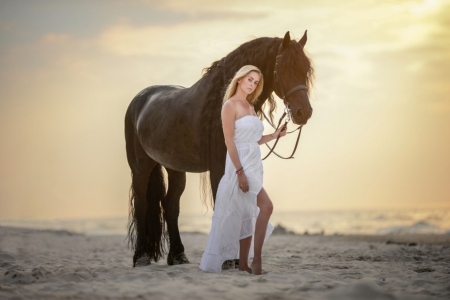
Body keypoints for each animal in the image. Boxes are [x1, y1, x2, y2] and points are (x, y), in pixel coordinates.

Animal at [123, 30, 312, 266]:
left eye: (306, 70)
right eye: (285, 67)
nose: (304, 112)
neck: (220, 102)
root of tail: (139, 100)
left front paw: (236, 259)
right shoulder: (218, 167)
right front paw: (227, 260)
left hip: (175, 169)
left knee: (170, 205)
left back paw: (178, 255)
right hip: (140, 167)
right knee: (142, 205)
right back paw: (141, 256)